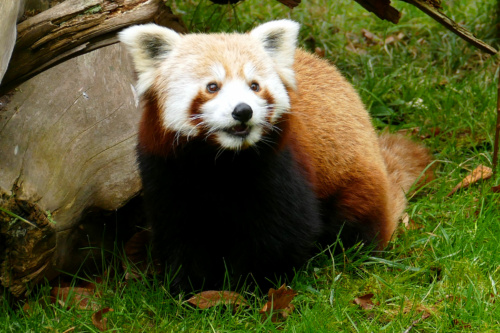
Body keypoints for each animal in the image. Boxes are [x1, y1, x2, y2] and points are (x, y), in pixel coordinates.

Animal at [119, 20, 432, 290]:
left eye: (254, 86)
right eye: (212, 87)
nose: (243, 111)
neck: (221, 161)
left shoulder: (280, 165)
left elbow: (283, 233)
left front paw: (251, 287)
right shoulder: (167, 170)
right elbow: (182, 231)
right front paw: (190, 287)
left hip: (355, 180)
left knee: (355, 224)